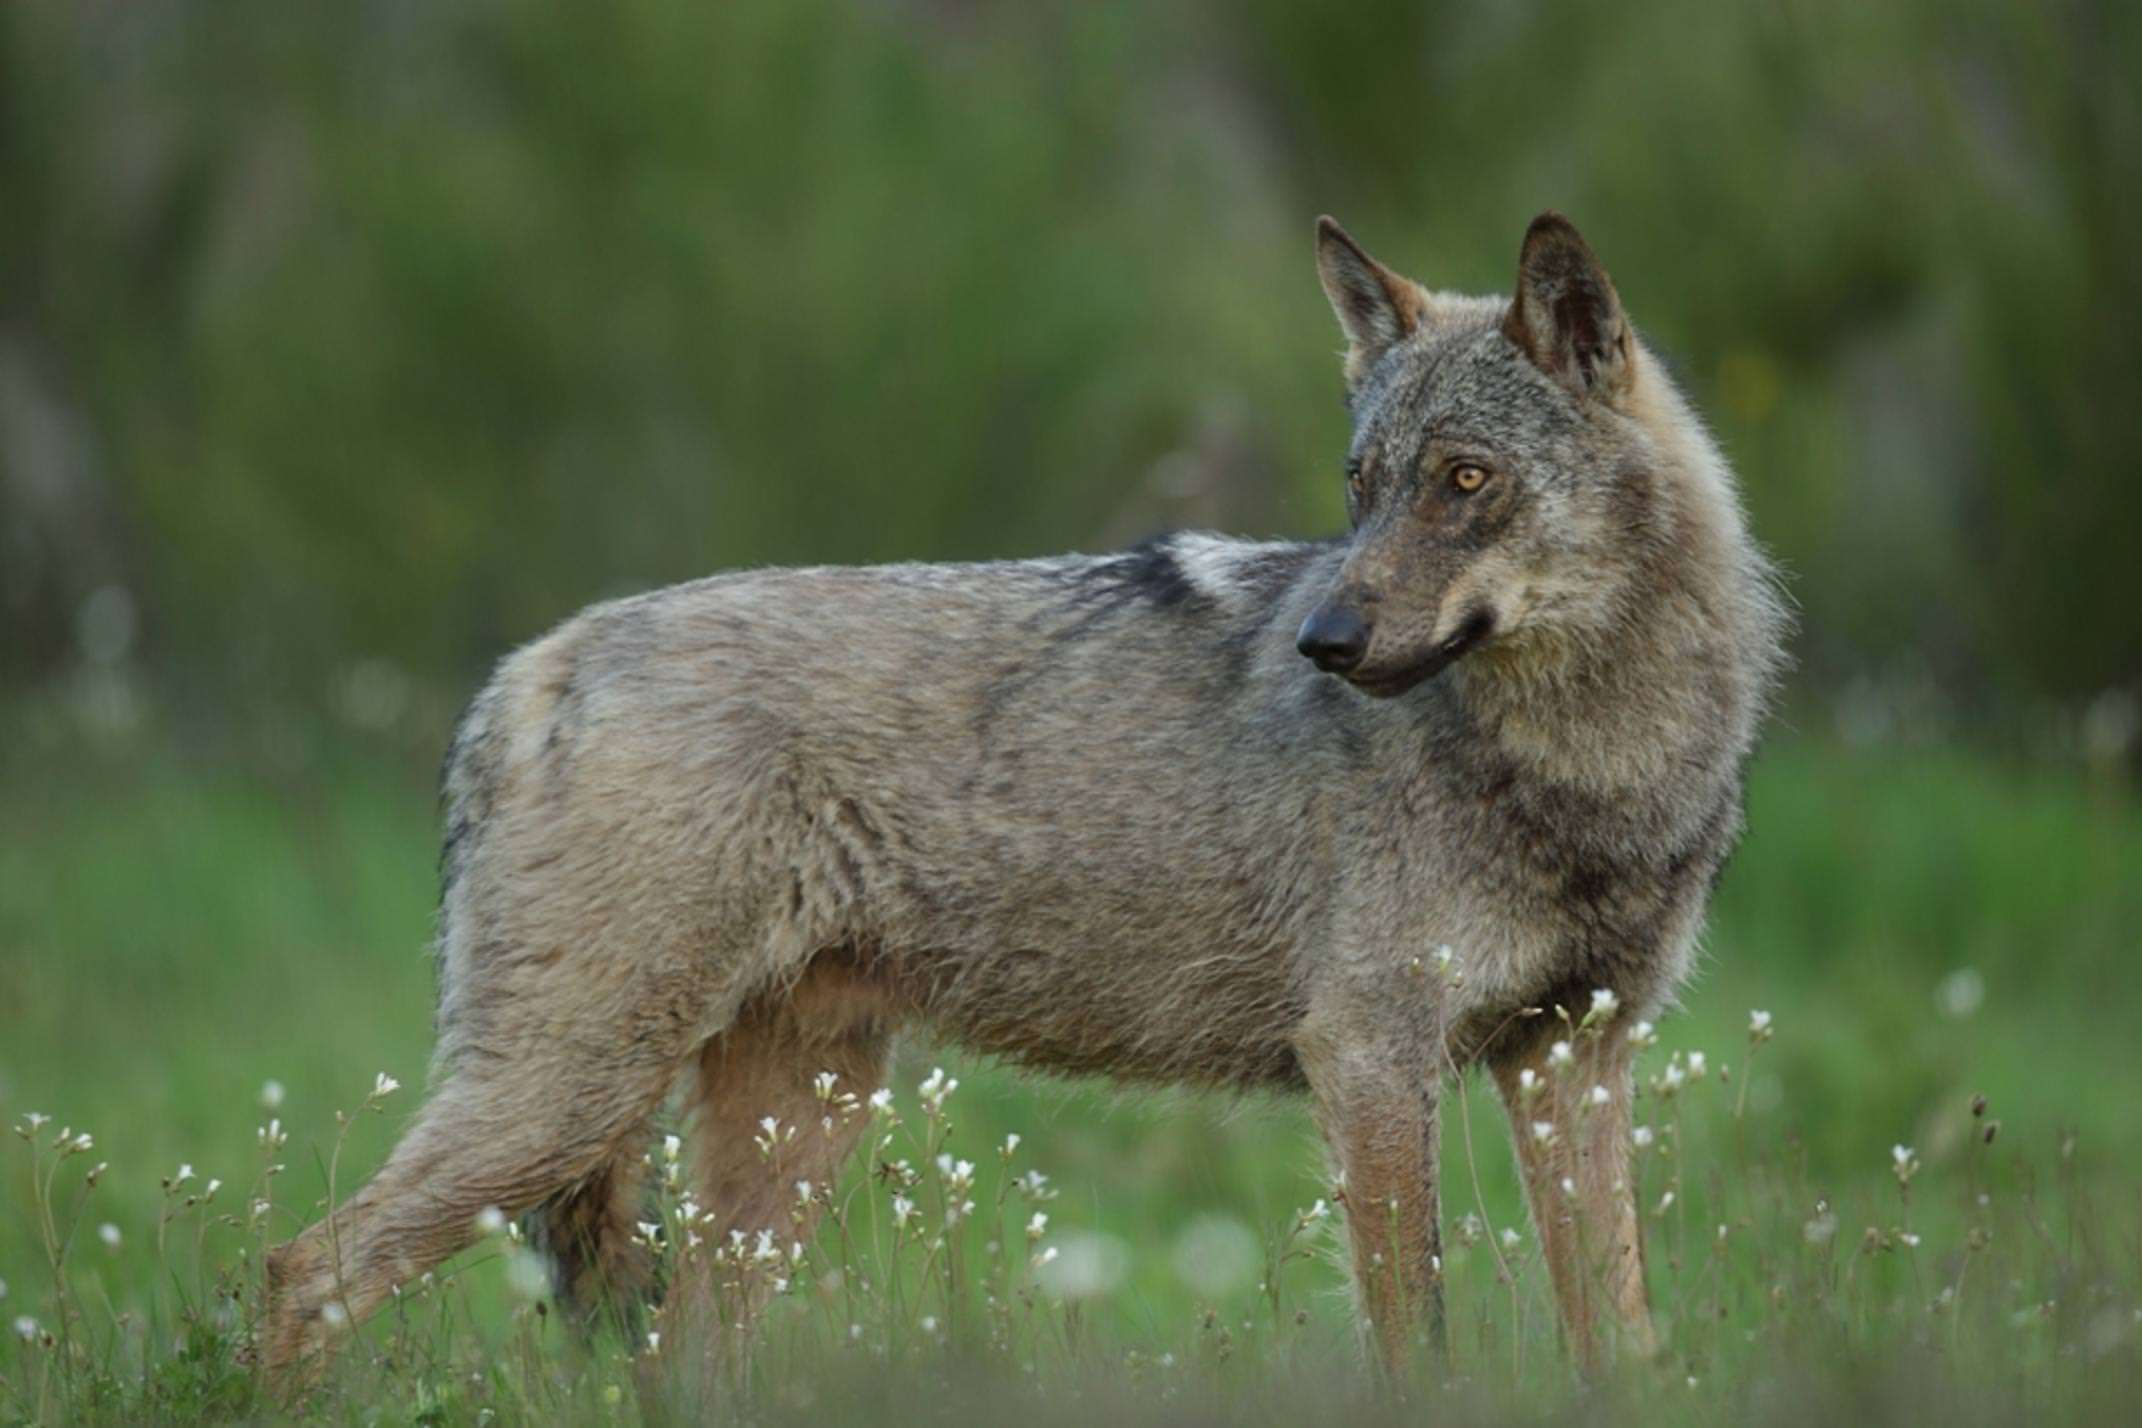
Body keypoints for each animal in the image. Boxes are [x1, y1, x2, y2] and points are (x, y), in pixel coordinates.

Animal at [259, 209, 1782, 1387]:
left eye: (1465, 481)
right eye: (1359, 487)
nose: (1323, 644)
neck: (1587, 770)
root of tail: (535, 659)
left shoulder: (1574, 1059)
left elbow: (1621, 1339)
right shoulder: (1367, 1060)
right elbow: (1419, 1340)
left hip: (783, 1127)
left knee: (670, 1356)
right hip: (570, 1104)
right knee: (298, 1274)